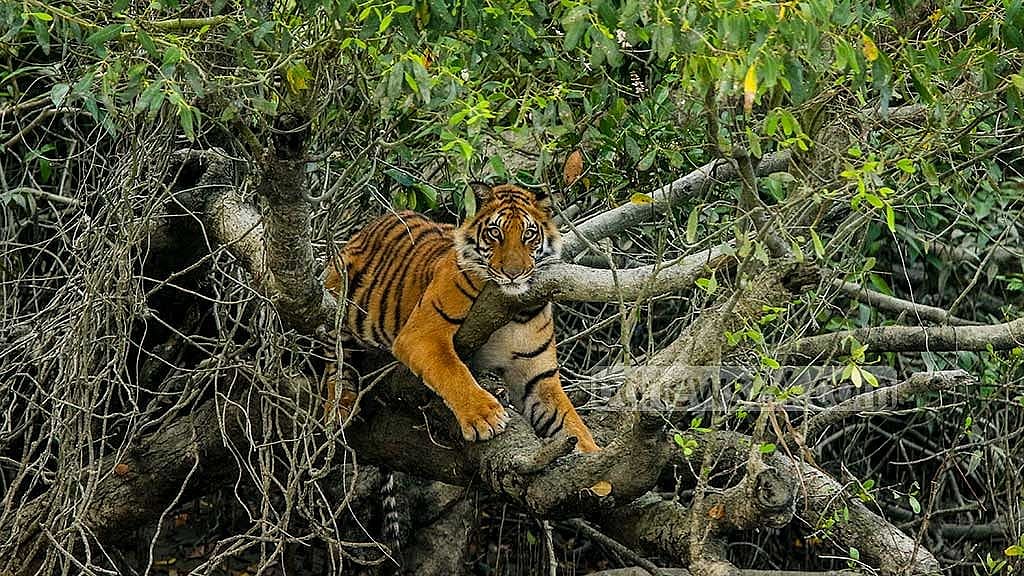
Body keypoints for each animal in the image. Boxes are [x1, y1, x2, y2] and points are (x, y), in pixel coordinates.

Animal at [323, 181, 599, 453]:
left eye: (529, 234)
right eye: (495, 233)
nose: (513, 273)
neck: (512, 310)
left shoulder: (538, 377)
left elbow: (572, 422)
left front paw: (592, 453)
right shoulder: (422, 333)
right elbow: (453, 371)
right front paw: (485, 417)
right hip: (337, 291)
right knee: (334, 357)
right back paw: (339, 407)